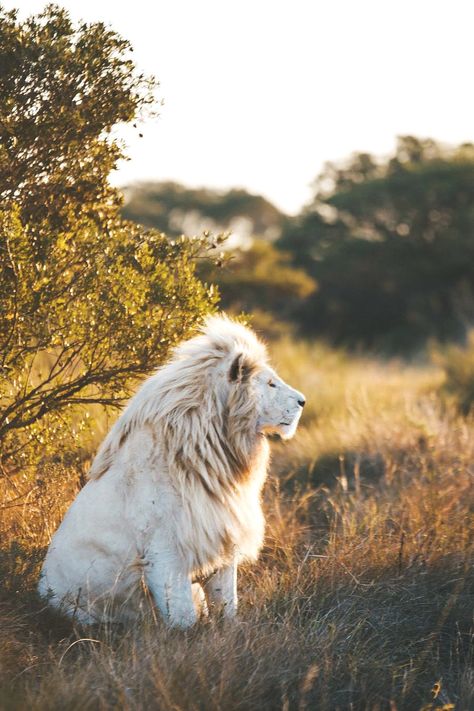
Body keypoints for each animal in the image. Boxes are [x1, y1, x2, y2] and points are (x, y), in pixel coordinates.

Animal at [39, 318, 306, 628]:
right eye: (271, 383)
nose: (303, 401)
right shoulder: (164, 551)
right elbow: (183, 617)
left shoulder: (222, 537)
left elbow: (228, 602)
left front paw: (230, 631)